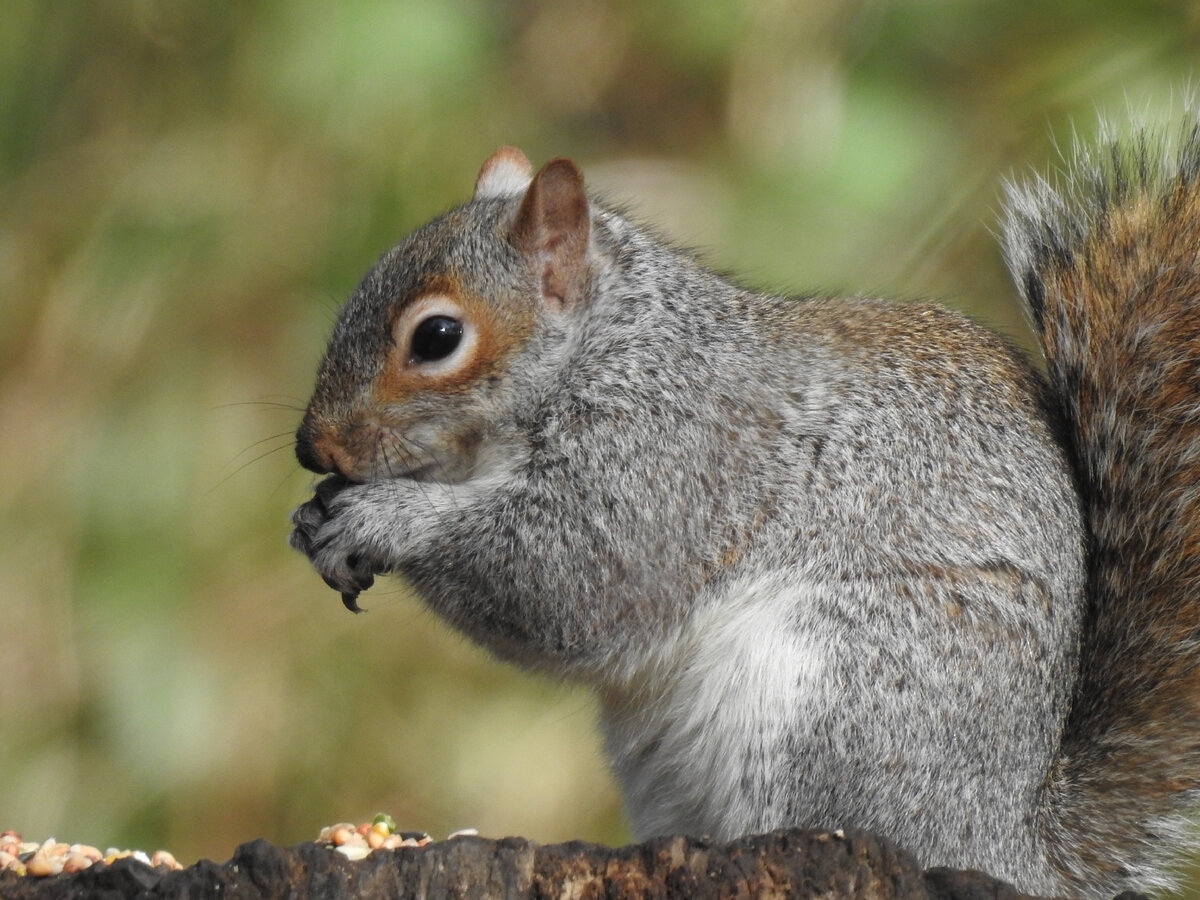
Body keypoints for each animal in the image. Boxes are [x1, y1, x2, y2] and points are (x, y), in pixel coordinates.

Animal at [285, 121, 1200, 900]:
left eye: (437, 338)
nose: (312, 449)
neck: (610, 347)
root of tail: (1007, 845)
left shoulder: (674, 461)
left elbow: (565, 582)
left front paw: (383, 518)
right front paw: (313, 519)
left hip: (841, 692)